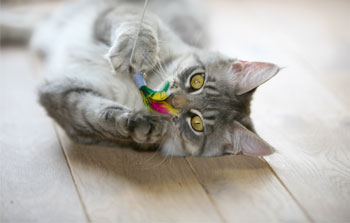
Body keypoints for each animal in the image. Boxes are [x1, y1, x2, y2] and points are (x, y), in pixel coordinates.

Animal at [32, 0, 280, 157]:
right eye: (197, 81)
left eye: (196, 123)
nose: (171, 100)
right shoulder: (124, 13)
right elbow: (138, 27)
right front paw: (134, 54)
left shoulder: (61, 94)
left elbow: (99, 116)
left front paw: (140, 125)